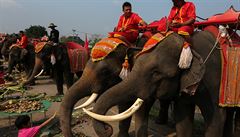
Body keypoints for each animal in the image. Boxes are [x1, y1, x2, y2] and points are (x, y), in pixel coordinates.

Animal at [83, 30, 239, 137]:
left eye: (156, 73)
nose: (108, 128)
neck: (191, 46)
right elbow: (182, 118)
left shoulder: (214, 81)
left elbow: (215, 119)